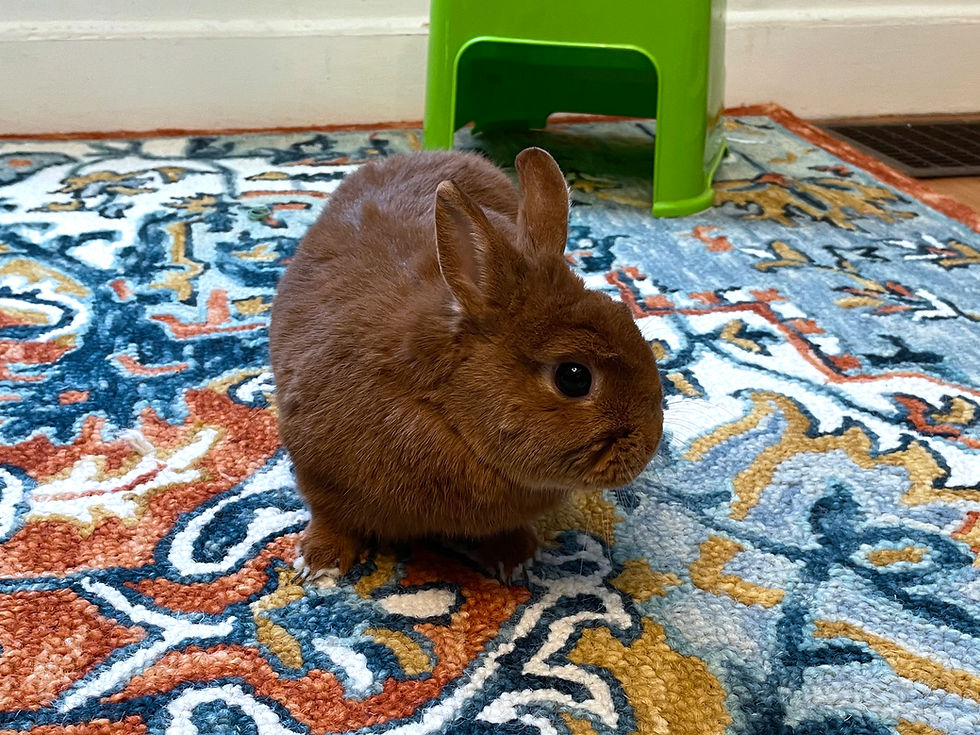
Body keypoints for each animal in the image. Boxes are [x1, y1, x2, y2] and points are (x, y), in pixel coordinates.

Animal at [269, 146, 663, 580]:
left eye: (626, 317)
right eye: (573, 377)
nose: (648, 446)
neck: (442, 407)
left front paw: (515, 559)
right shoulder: (317, 471)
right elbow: (330, 517)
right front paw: (319, 562)